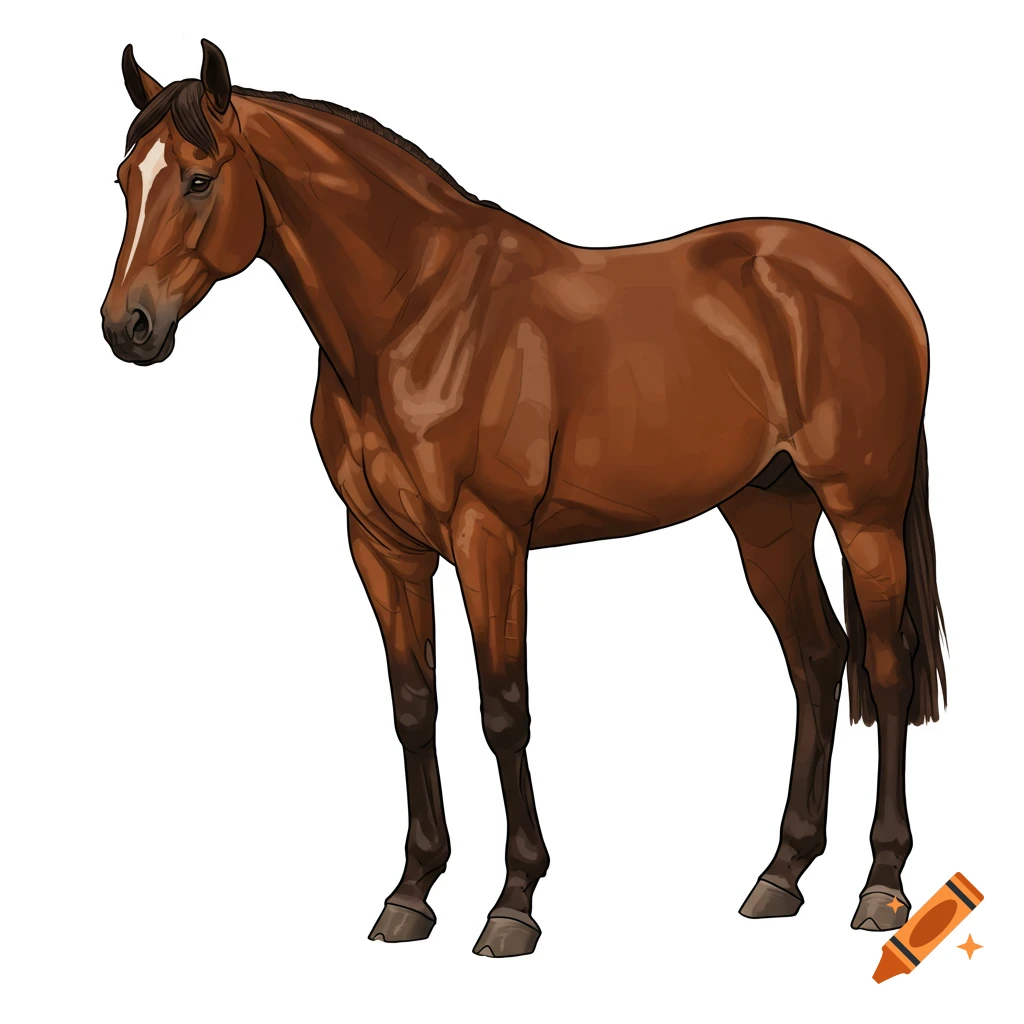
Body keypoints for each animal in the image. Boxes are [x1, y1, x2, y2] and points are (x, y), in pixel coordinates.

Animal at [101, 40, 946, 957]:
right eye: (124, 181)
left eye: (198, 179)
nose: (127, 327)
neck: (415, 317)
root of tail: (875, 281)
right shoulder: (382, 548)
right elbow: (414, 708)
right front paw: (411, 893)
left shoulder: (489, 537)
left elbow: (503, 710)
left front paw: (513, 903)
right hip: (769, 514)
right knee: (817, 661)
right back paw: (780, 876)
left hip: (862, 511)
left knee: (887, 667)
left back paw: (882, 886)